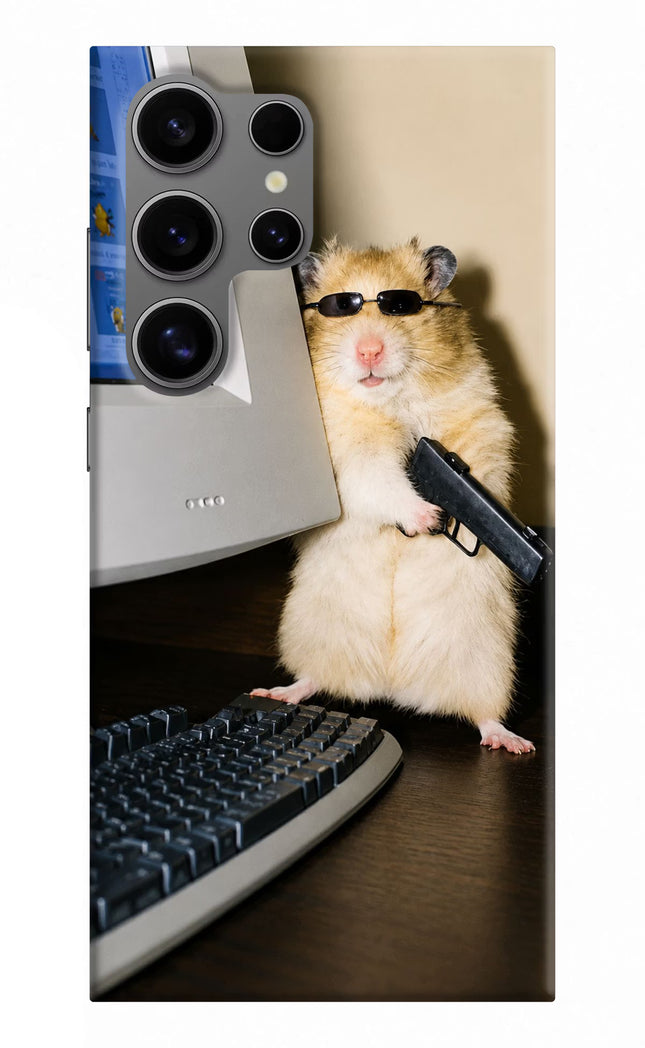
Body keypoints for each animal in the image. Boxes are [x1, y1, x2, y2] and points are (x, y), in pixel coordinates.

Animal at [252, 237, 534, 754]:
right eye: (340, 307)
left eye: (401, 306)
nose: (369, 351)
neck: (389, 401)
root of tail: (393, 685)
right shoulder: (348, 457)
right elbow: (380, 481)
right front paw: (428, 518)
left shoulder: (481, 424)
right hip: (312, 631)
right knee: (313, 678)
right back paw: (276, 692)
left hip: (487, 660)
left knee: (484, 714)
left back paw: (512, 742)